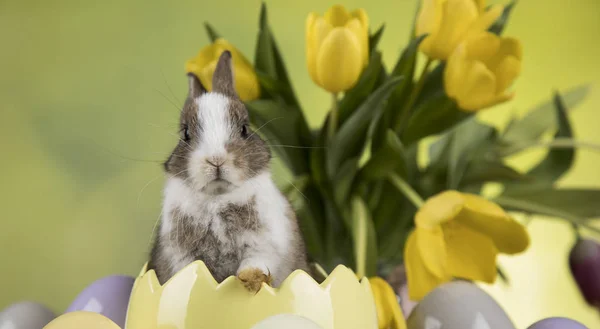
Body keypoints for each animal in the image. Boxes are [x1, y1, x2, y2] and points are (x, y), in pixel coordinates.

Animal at [148, 50, 312, 290]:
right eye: (185, 134)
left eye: (244, 129)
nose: (216, 160)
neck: (218, 199)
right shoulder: (181, 254)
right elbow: (190, 272)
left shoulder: (264, 243)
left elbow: (255, 261)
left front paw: (251, 280)